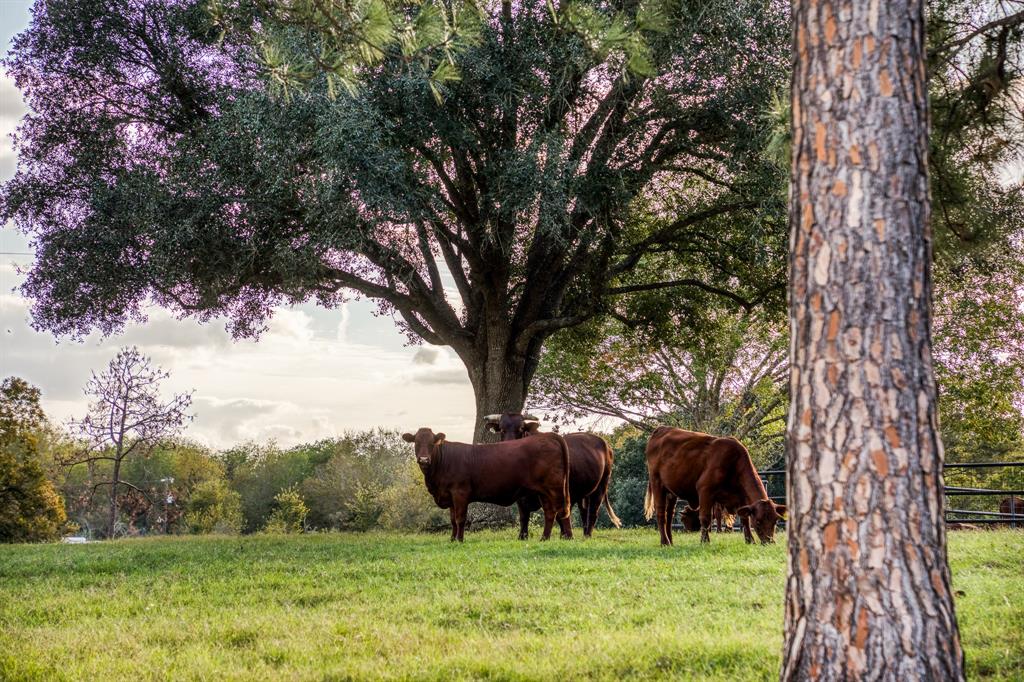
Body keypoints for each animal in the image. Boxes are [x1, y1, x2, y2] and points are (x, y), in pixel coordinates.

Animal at [401, 425, 577, 540]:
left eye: (432, 443)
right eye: (416, 442)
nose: (424, 459)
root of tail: (548, 436)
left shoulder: (460, 493)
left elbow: (460, 518)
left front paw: (459, 540)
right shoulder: (449, 496)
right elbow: (452, 520)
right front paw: (452, 539)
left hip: (555, 488)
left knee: (562, 511)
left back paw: (568, 536)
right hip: (543, 491)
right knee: (550, 513)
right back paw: (544, 538)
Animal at [481, 411, 618, 540]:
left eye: (521, 429)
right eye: (501, 429)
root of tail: (604, 442)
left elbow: (557, 515)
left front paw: (565, 536)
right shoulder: (521, 497)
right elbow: (524, 517)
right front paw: (522, 536)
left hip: (601, 486)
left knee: (593, 512)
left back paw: (587, 535)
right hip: (583, 493)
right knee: (584, 512)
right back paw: (584, 534)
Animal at [643, 425, 786, 540]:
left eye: (775, 521)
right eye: (758, 521)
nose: (769, 541)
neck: (734, 462)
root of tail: (661, 429)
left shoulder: (741, 498)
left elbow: (744, 520)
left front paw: (750, 541)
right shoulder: (705, 490)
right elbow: (706, 517)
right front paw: (705, 541)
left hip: (671, 492)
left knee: (669, 515)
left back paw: (671, 541)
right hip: (657, 484)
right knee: (661, 513)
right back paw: (665, 542)